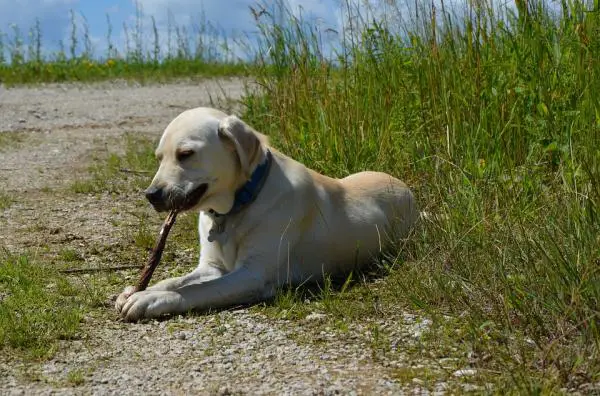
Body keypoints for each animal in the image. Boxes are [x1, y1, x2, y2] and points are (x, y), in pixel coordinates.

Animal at [116, 106, 418, 320]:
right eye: (159, 158)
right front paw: (138, 290)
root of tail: (407, 189)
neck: (234, 208)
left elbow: (195, 290)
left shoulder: (252, 274)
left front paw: (149, 299)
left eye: (186, 154)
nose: (151, 195)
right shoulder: (210, 267)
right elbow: (175, 280)